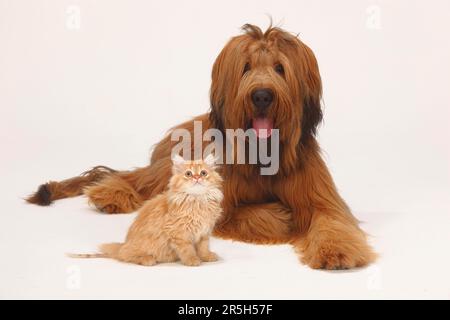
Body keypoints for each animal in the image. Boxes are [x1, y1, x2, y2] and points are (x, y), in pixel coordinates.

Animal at [69, 154, 223, 266]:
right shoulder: (179, 234)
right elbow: (187, 249)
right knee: (126, 256)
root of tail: (122, 246)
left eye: (203, 173)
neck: (198, 201)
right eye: (188, 174)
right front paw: (192, 260)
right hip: (139, 248)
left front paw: (207, 257)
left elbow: (203, 247)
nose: (197, 178)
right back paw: (147, 259)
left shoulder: (204, 232)